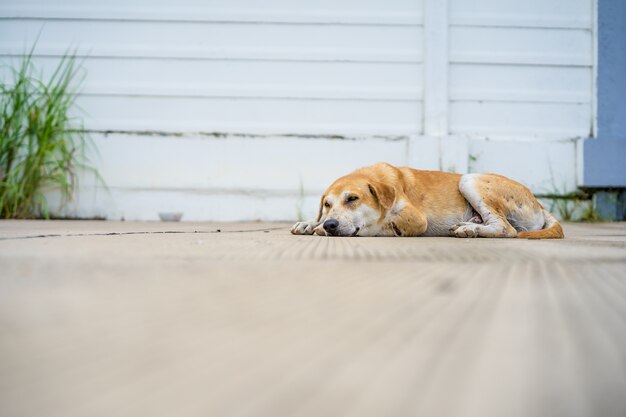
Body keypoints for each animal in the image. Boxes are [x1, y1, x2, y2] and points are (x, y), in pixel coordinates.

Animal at [290, 162, 564, 239]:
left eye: (353, 199)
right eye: (327, 205)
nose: (330, 225)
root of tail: (539, 204)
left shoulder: (416, 220)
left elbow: (376, 226)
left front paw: (319, 228)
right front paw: (310, 223)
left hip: (470, 179)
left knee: (506, 229)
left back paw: (470, 229)